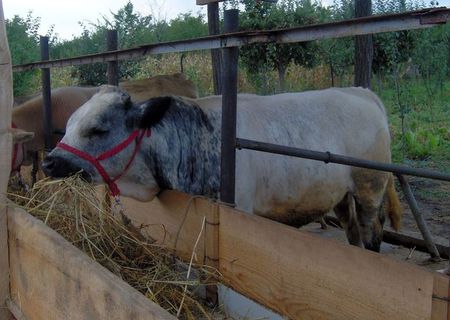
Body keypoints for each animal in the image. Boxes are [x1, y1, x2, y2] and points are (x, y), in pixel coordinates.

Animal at [41, 85, 400, 252]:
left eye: (98, 129)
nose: (49, 161)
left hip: (370, 187)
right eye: (69, 124)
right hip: (341, 195)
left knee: (372, 231)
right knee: (352, 231)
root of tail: (360, 91)